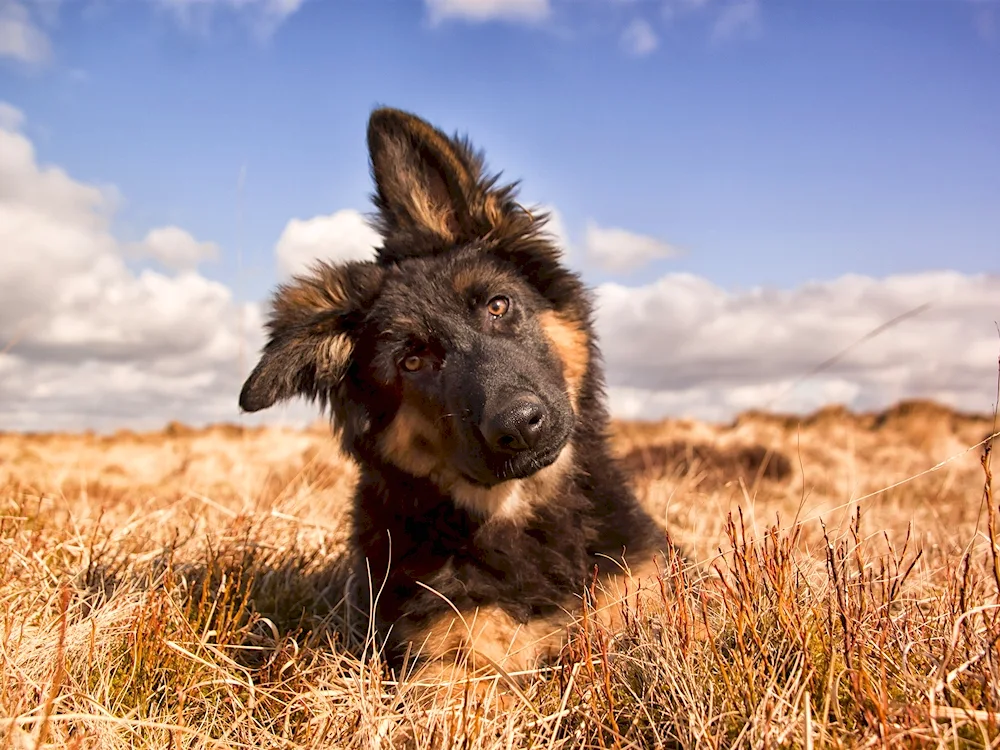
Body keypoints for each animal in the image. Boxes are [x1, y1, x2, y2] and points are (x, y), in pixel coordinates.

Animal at [238, 106, 668, 700]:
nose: (520, 426)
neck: (521, 515)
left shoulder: (643, 589)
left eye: (498, 305)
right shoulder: (450, 659)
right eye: (412, 361)